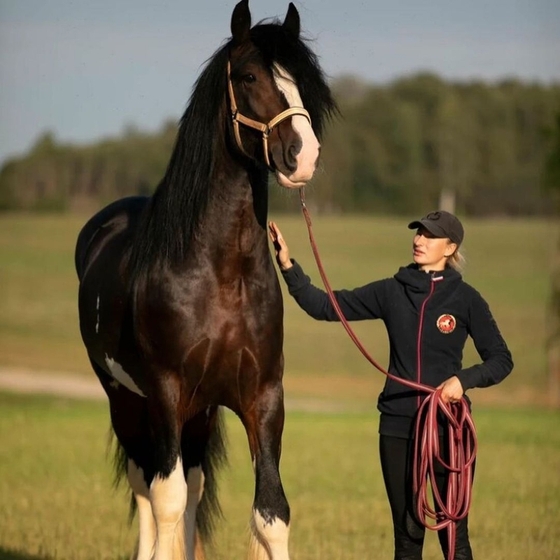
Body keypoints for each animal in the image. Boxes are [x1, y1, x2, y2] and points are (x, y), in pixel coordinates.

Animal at [74, 2, 336, 556]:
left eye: (301, 80)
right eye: (250, 76)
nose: (304, 155)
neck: (220, 275)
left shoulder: (263, 397)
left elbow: (271, 512)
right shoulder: (166, 393)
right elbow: (165, 500)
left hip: (200, 412)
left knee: (191, 483)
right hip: (125, 398)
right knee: (146, 485)